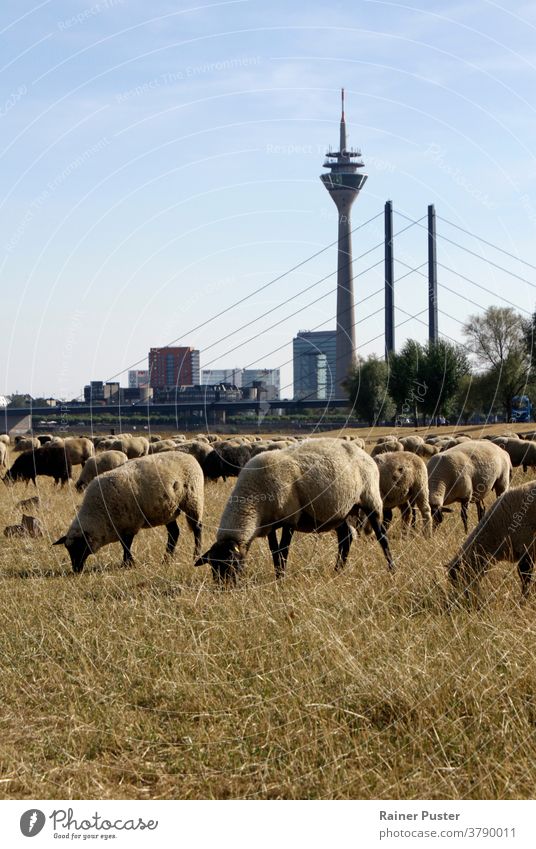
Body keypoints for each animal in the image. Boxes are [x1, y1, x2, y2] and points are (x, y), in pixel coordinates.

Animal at [53, 450, 203, 576]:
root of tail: (189, 456)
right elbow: (124, 545)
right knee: (174, 533)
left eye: (80, 547)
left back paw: (196, 555)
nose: (76, 570)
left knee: (197, 528)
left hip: (193, 500)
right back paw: (166, 559)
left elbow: (126, 545)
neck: (99, 514)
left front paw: (128, 563)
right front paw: (127, 563)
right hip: (169, 510)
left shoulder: (129, 525)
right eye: (68, 549)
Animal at [195, 438, 392, 584]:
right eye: (213, 566)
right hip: (340, 511)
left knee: (382, 536)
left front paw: (281, 579)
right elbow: (274, 552)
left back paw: (392, 568)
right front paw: (277, 576)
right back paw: (337, 570)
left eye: (232, 564)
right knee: (345, 538)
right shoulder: (270, 524)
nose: (223, 589)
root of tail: (363, 453)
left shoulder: (290, 519)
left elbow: (283, 551)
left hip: (370, 499)